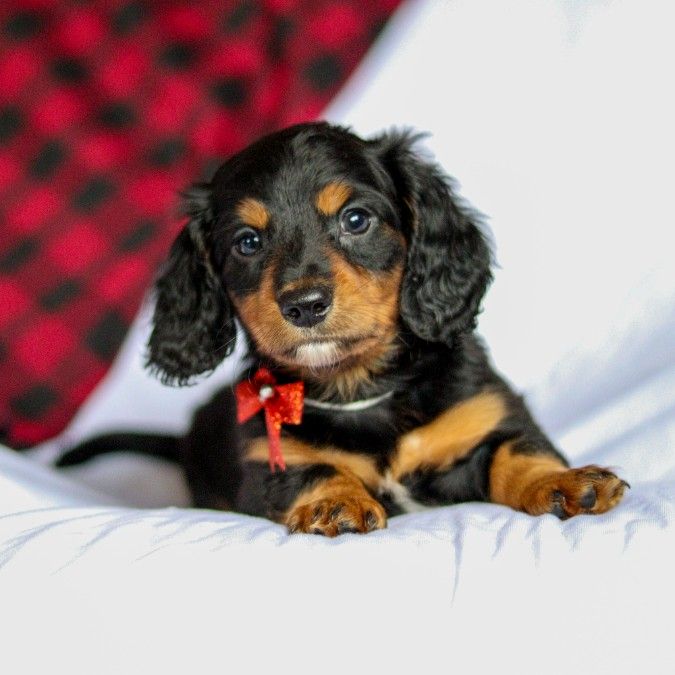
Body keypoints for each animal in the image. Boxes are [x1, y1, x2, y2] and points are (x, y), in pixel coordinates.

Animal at [58, 120, 628, 532]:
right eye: (247, 242)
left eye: (356, 220)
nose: (304, 306)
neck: (361, 392)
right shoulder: (269, 458)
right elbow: (316, 468)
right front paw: (334, 502)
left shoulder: (484, 415)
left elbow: (520, 451)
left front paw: (565, 482)